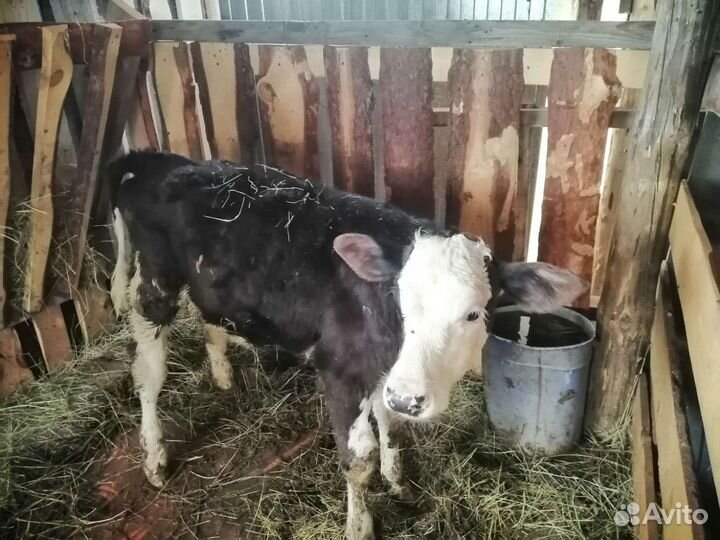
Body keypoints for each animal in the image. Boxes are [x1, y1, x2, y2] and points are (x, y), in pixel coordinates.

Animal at [108, 150, 587, 540]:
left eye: (472, 314)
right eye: (401, 302)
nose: (410, 399)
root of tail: (161, 161)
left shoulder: (387, 374)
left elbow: (390, 424)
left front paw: (397, 481)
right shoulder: (340, 370)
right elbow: (359, 460)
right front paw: (360, 526)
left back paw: (223, 377)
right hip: (154, 284)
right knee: (148, 375)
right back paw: (154, 458)